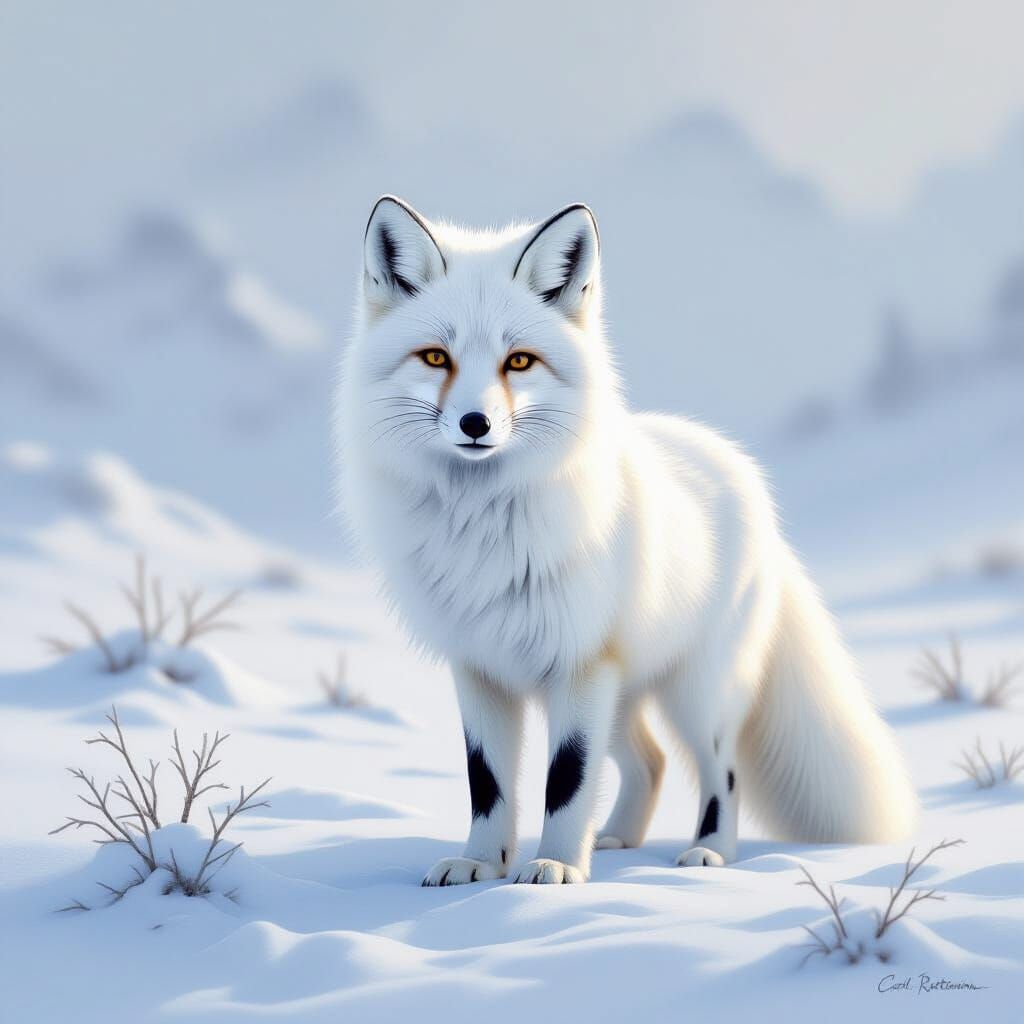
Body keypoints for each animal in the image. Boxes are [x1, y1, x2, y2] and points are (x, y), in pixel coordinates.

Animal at [335, 196, 917, 886]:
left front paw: (556, 870)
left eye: (519, 361)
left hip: (697, 693)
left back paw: (710, 853)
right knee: (652, 761)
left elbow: (566, 781)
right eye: (434, 358)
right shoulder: (480, 668)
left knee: (721, 773)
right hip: (625, 696)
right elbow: (489, 783)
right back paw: (618, 839)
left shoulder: (581, 664)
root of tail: (741, 469)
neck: (484, 533)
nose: (475, 423)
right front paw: (481, 865)